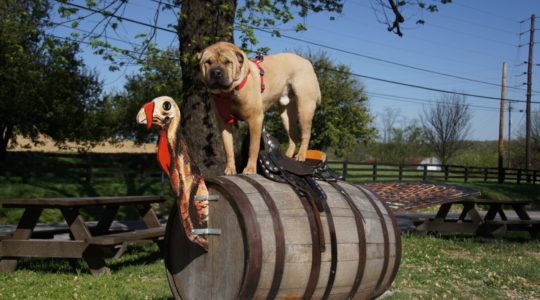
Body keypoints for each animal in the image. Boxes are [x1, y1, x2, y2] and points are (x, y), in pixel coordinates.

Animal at [199, 41, 320, 175]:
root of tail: (307, 62)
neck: (228, 93)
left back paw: (301, 155)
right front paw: (230, 169)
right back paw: (288, 157)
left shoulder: (255, 119)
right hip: (286, 114)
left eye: (227, 62)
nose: (216, 72)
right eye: (208, 62)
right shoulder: (224, 123)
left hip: (305, 107)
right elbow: (228, 148)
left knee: (306, 134)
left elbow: (253, 147)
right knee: (293, 136)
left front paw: (250, 169)